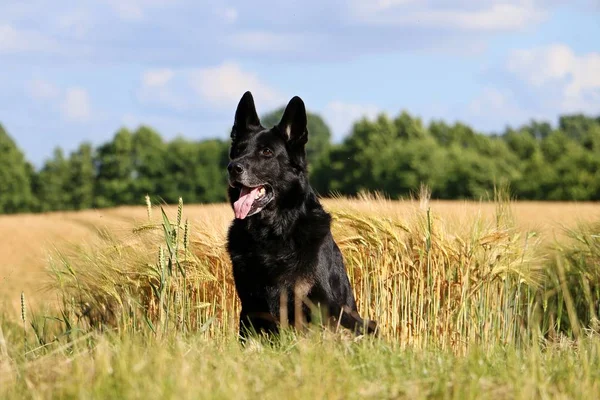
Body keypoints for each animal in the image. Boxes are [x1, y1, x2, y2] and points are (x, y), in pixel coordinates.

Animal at [225, 91, 376, 340]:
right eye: (238, 150)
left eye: (266, 152)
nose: (233, 167)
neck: (273, 232)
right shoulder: (250, 305)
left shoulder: (320, 304)